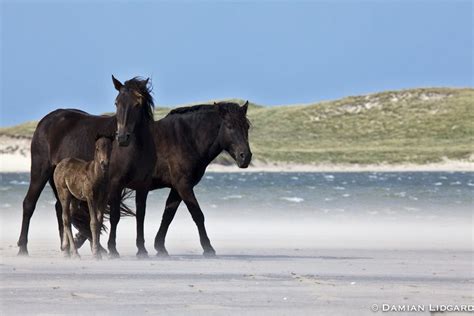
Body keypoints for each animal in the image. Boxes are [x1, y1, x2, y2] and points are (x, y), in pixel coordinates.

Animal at [17, 76, 156, 256]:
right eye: (116, 102)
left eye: (138, 103)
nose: (122, 137)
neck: (136, 148)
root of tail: (46, 121)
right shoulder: (116, 183)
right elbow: (115, 216)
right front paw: (112, 249)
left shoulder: (143, 185)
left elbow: (141, 215)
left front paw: (142, 250)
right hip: (40, 171)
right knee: (29, 204)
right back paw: (23, 248)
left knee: (61, 209)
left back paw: (66, 248)